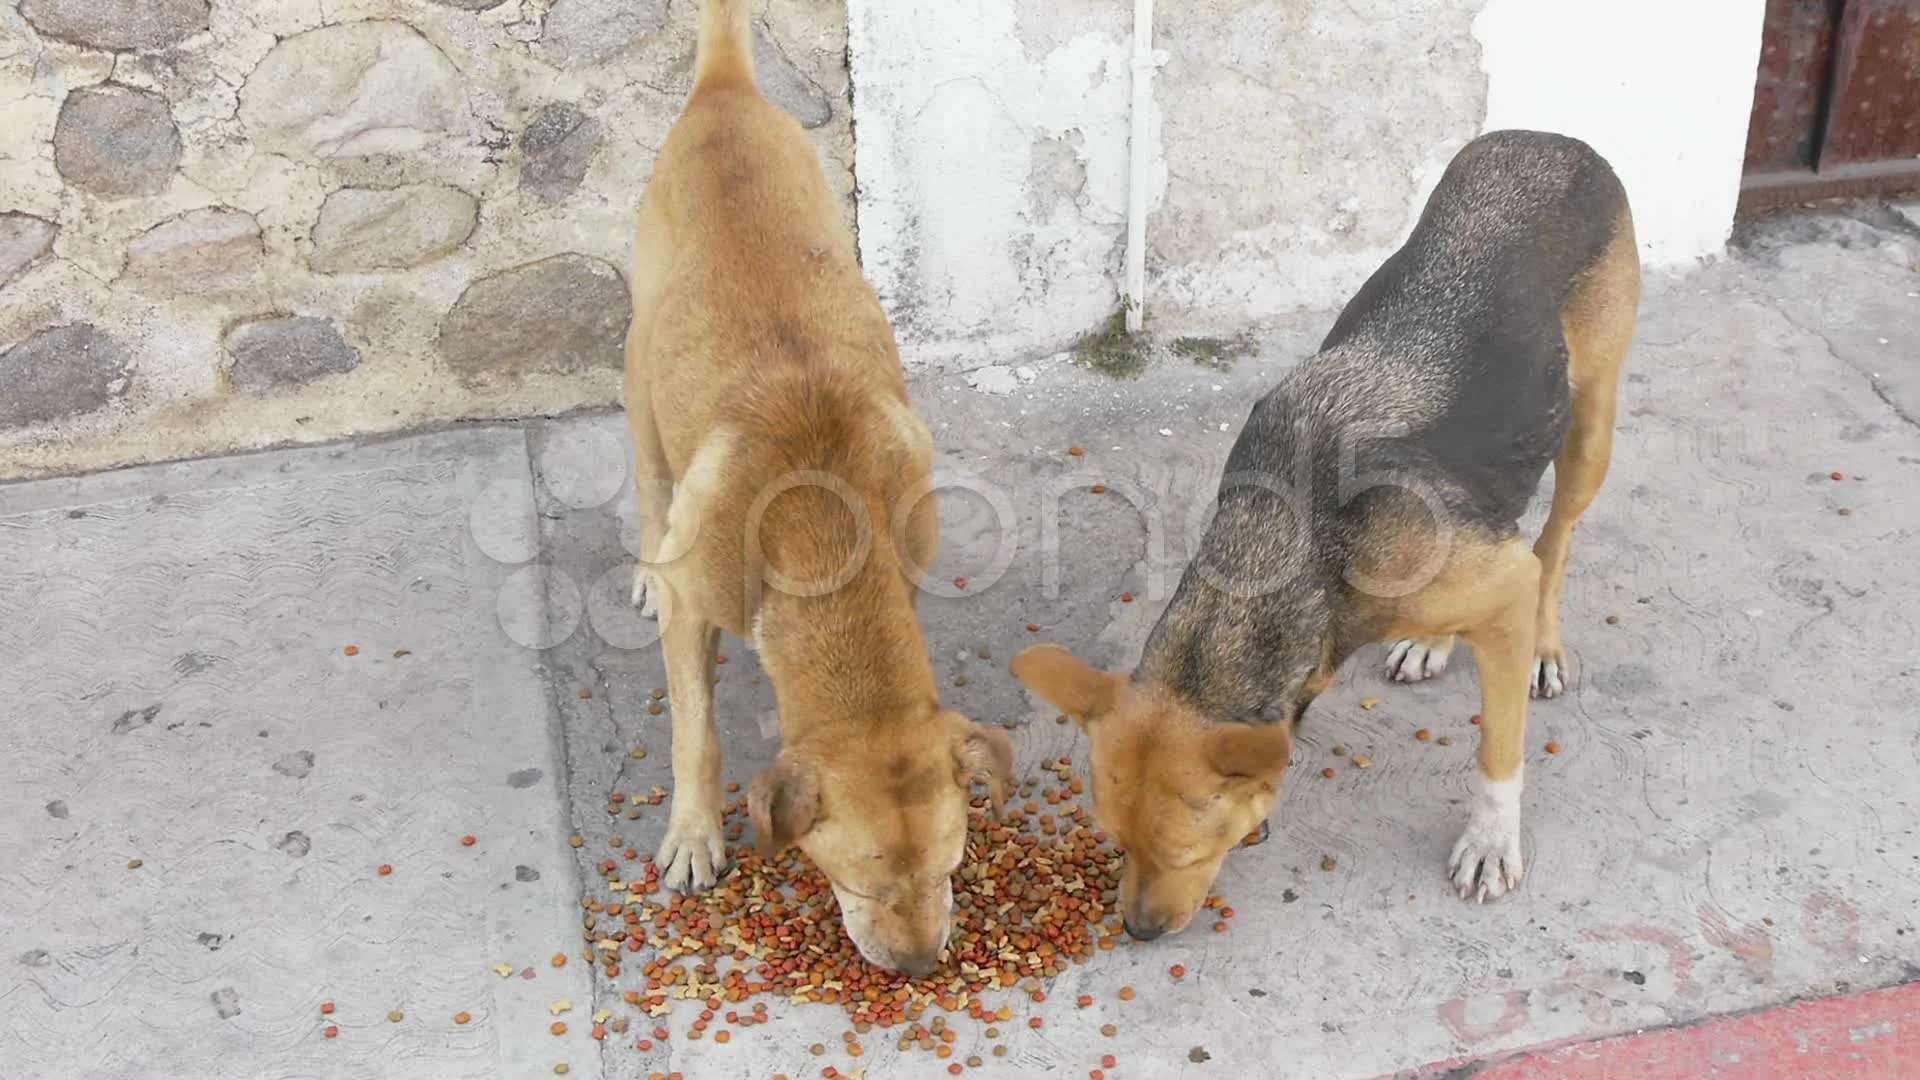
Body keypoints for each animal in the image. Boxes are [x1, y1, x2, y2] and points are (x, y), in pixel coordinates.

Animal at [625, 2, 1021, 976]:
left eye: (951, 866)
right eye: (859, 881)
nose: (918, 968)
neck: (819, 522)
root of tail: (724, 93)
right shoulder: (696, 601)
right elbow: (696, 733)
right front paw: (696, 832)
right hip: (639, 377)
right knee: (650, 487)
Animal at [1013, 123, 1643, 933]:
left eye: (1187, 852)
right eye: (1114, 839)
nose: (1139, 931)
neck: (1290, 546)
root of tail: (1552, 139)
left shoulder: (1506, 586)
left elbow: (1499, 753)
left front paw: (1491, 840)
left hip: (1590, 428)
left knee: (1555, 541)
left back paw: (1541, 647)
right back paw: (1434, 641)